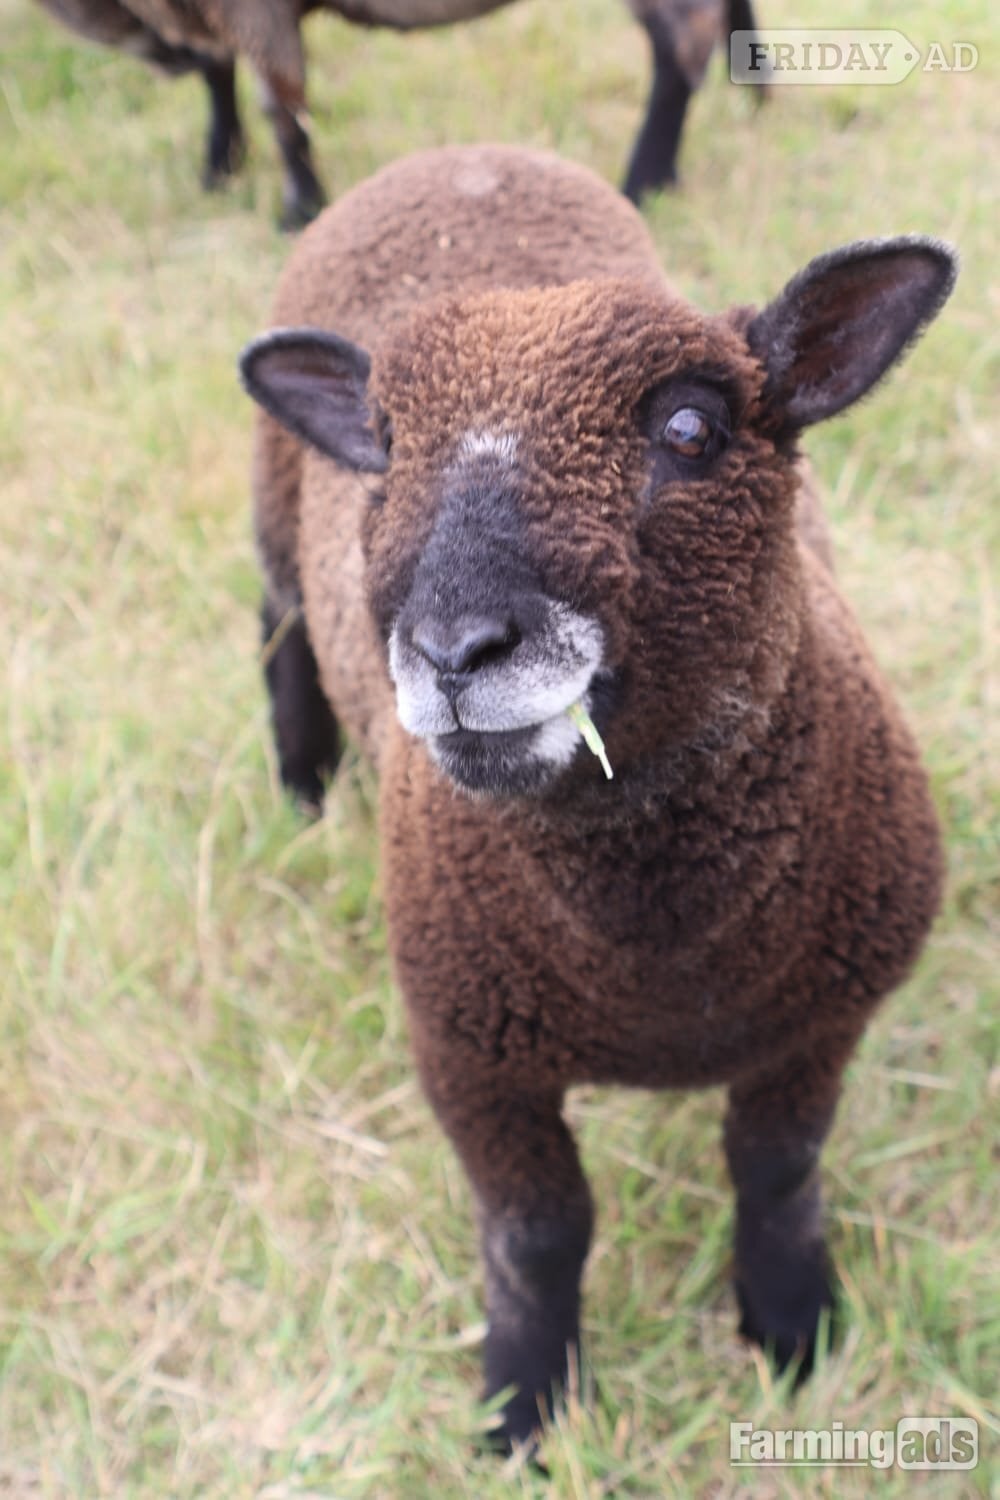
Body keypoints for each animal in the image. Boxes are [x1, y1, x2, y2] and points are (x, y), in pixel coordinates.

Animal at [33, 0, 765, 226]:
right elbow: (219, 73)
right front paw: (220, 166)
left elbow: (282, 108)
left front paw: (301, 209)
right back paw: (757, 88)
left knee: (680, 42)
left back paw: (644, 180)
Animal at [238, 144, 956, 1450]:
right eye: (386, 447)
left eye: (691, 425)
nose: (456, 650)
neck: (658, 959)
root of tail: (460, 153)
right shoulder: (470, 1052)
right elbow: (537, 1233)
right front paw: (523, 1404)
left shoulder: (824, 1015)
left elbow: (779, 1170)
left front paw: (793, 1328)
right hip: (270, 509)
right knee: (277, 624)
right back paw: (303, 785)